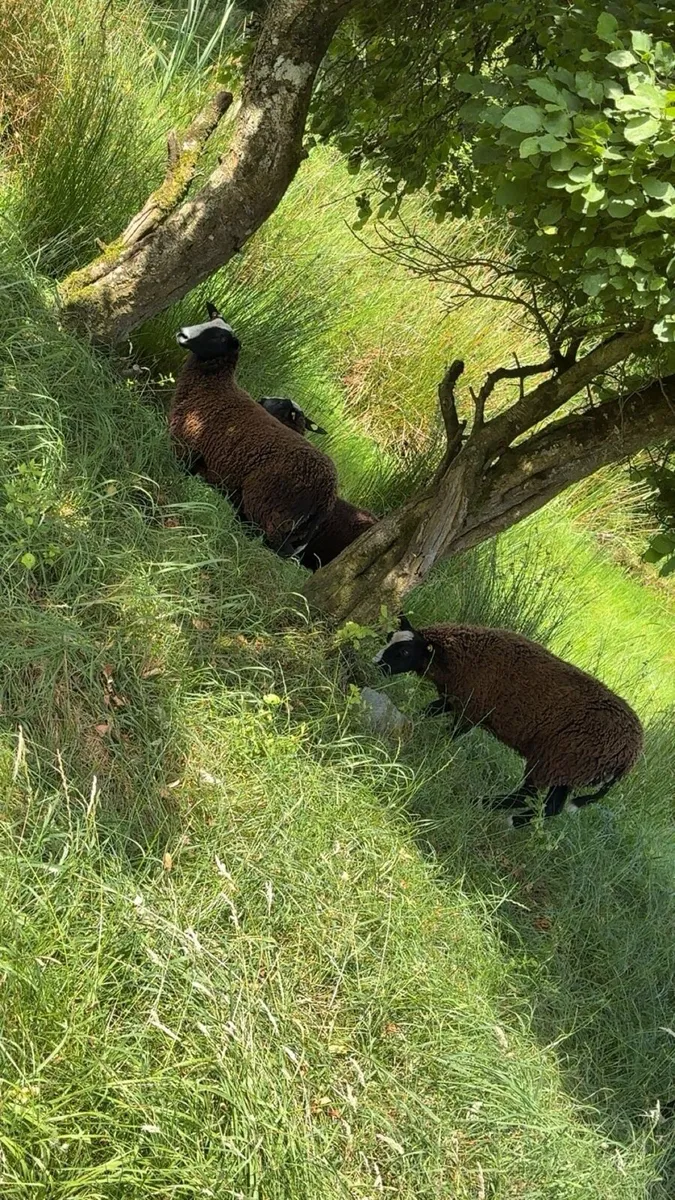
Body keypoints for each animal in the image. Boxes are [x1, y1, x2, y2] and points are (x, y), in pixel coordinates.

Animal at [170, 303, 338, 555]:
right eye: (208, 322)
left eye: (220, 337)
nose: (183, 333)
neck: (214, 388)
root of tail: (329, 494)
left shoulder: (187, 445)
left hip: (269, 506)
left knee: (270, 543)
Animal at [373, 616, 643, 826]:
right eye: (389, 637)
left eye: (404, 652)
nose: (375, 664)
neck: (461, 656)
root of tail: (629, 756)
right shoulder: (456, 698)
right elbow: (427, 711)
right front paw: (410, 726)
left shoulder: (472, 709)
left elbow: (450, 735)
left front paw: (432, 752)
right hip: (568, 770)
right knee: (550, 807)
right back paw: (510, 816)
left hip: (554, 759)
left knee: (530, 797)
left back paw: (494, 809)